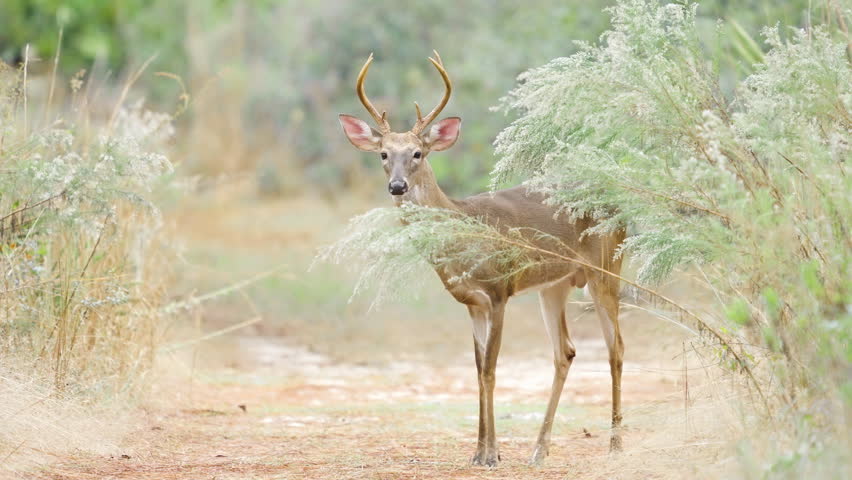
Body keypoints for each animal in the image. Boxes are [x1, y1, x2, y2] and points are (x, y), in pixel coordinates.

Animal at [338, 52, 627, 467]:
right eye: (383, 154)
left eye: (417, 153)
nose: (397, 186)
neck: (460, 231)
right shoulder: (471, 303)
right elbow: (476, 370)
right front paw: (480, 451)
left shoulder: (499, 290)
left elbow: (490, 369)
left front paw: (490, 455)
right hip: (554, 285)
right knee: (565, 352)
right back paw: (539, 450)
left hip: (607, 269)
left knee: (615, 347)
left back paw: (615, 444)